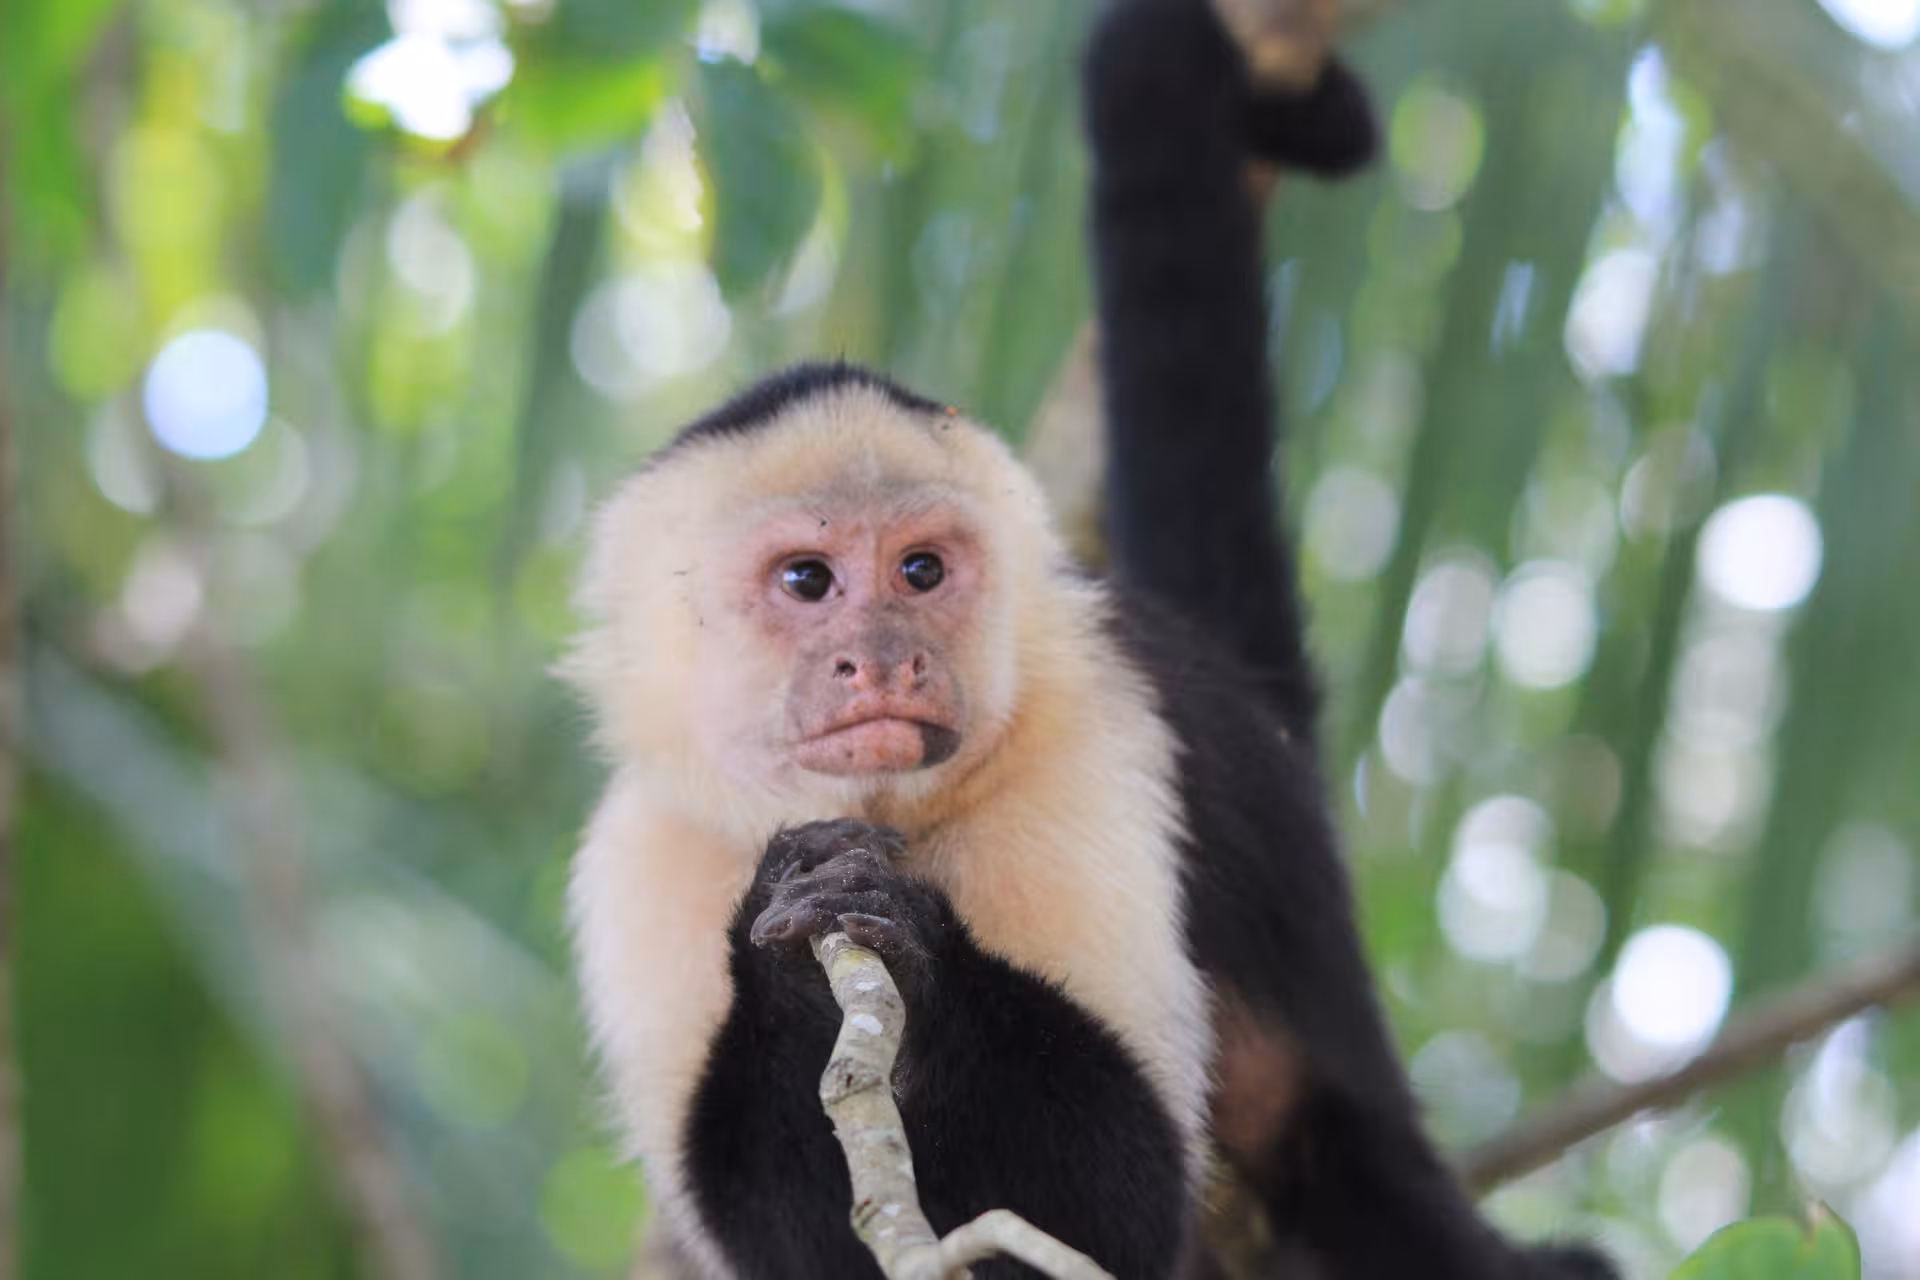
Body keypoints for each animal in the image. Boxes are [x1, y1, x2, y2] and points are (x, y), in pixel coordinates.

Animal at [562, 0, 1619, 1277]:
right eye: (808, 580)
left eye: (921, 570)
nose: (885, 654)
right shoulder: (644, 859)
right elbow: (809, 1241)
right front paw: (784, 970)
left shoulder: (1097, 741)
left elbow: (1110, 1205)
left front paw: (913, 945)